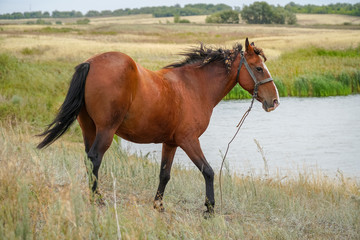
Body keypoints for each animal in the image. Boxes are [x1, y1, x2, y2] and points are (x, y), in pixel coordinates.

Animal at [37, 38, 278, 215]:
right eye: (258, 68)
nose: (274, 101)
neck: (194, 86)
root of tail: (91, 62)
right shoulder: (188, 140)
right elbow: (208, 171)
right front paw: (209, 208)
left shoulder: (170, 143)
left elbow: (165, 174)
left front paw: (158, 204)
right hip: (106, 131)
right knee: (95, 158)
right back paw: (97, 198)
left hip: (89, 128)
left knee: (89, 159)